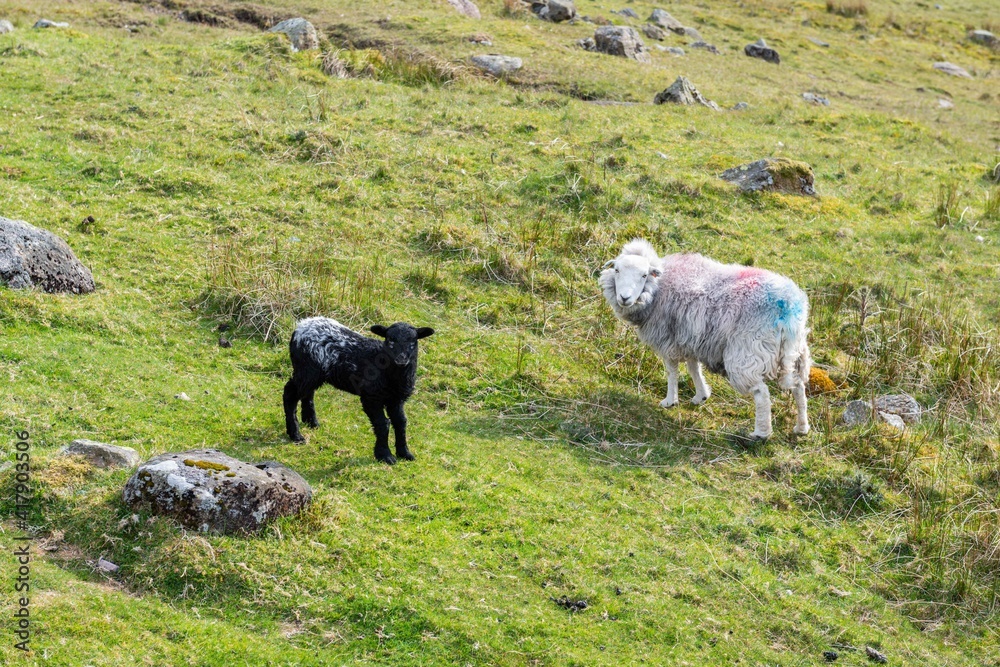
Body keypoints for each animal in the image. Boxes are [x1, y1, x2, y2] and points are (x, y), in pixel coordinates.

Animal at [283, 317, 435, 464]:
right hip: (306, 369)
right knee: (290, 394)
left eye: (413, 342)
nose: (401, 359)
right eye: (390, 340)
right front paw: (385, 455)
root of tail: (301, 326)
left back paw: (311, 422)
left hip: (313, 373)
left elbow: (401, 422)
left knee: (308, 393)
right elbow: (383, 424)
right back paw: (296, 435)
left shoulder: (396, 399)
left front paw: (404, 453)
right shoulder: (371, 397)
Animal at [599, 239, 810, 440]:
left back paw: (761, 433)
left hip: (748, 350)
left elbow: (671, 371)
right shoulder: (690, 337)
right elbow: (693, 367)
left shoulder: (668, 339)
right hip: (795, 352)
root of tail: (789, 307)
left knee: (761, 393)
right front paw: (701, 395)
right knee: (798, 386)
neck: (658, 288)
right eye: (617, 270)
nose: (624, 298)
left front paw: (670, 401)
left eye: (644, 275)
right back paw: (801, 427)